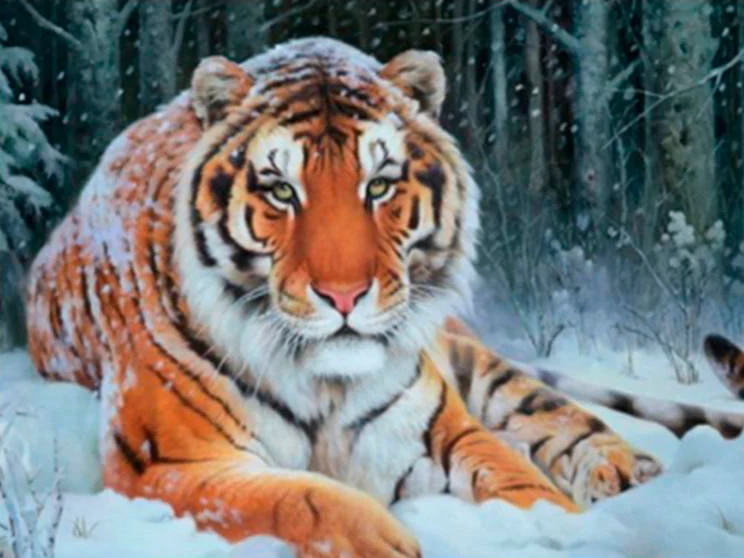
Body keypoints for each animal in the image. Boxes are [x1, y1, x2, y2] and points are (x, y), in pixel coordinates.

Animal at [21, 37, 703, 556]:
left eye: (378, 185)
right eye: (281, 190)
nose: (344, 296)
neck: (322, 384)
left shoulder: (438, 428)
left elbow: (523, 482)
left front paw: (571, 531)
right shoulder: (170, 466)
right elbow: (302, 498)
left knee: (551, 410)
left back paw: (625, 472)